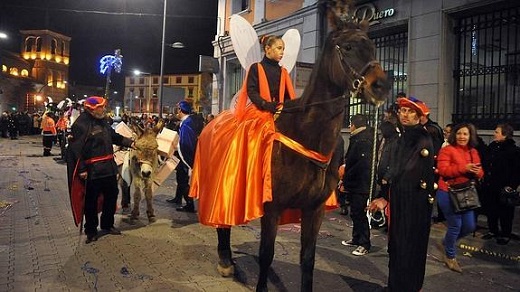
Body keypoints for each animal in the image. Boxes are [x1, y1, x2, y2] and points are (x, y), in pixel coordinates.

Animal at [214, 1, 390, 290]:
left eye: (374, 47)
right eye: (348, 47)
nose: (382, 86)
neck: (306, 135)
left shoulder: (314, 210)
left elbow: (308, 259)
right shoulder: (272, 207)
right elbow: (266, 255)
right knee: (223, 222)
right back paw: (225, 261)